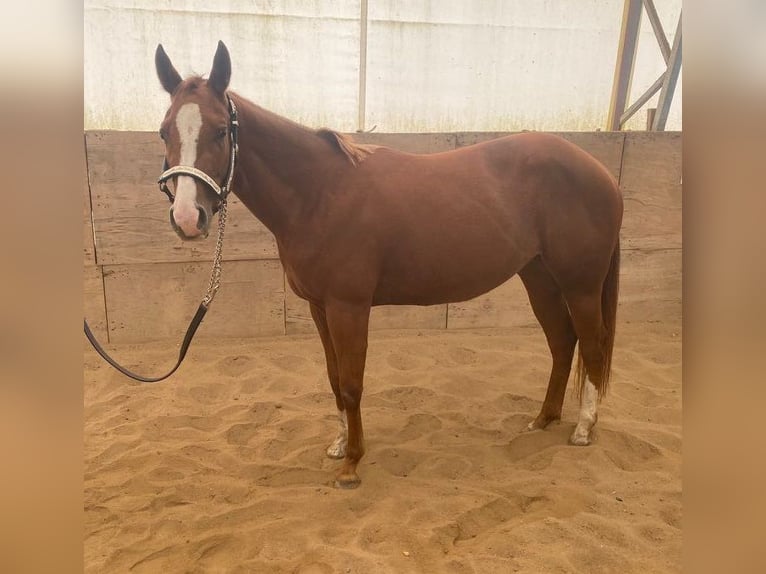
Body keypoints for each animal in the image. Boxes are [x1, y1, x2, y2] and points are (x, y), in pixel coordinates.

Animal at [154, 42, 624, 488]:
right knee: (562, 342)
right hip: (539, 278)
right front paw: (339, 446)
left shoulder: (349, 307)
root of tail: (601, 173)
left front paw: (352, 465)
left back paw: (583, 429)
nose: (187, 218)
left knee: (593, 344)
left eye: (220, 131)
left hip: (580, 285)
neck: (319, 193)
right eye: (163, 132)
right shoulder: (320, 308)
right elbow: (333, 377)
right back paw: (543, 419)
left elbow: (351, 383)